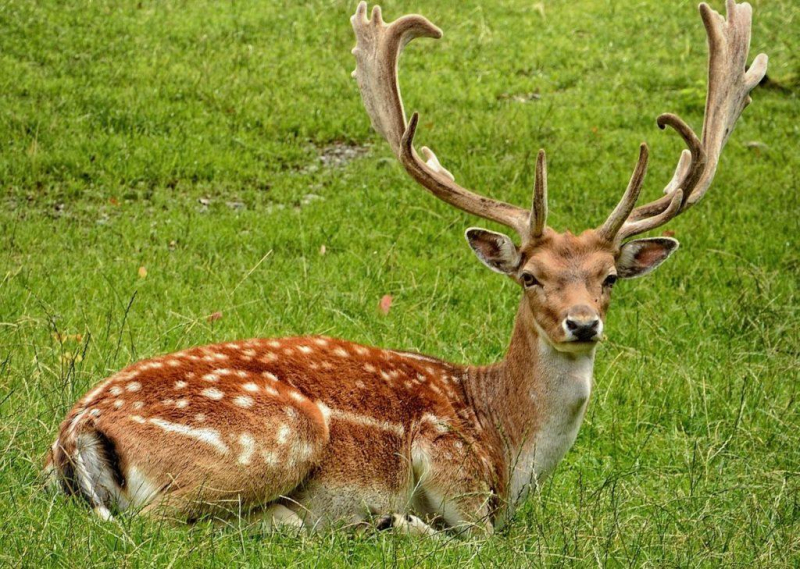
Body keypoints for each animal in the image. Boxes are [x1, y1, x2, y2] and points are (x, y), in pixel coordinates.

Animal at [45, 0, 768, 536]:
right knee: (159, 522)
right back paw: (331, 522)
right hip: (277, 434)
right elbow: (479, 538)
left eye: (609, 277)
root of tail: (73, 433)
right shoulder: (450, 459)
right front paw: (401, 521)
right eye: (529, 275)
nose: (582, 323)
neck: (509, 444)